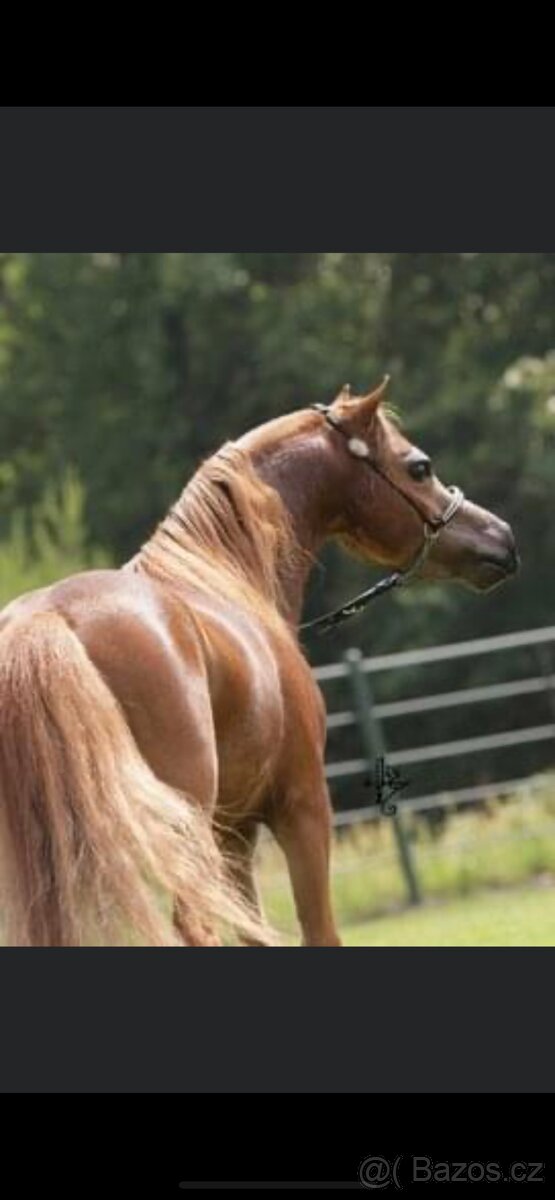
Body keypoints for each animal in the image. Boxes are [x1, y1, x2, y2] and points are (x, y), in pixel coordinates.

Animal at [0, 378, 519, 946]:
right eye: (419, 467)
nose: (501, 538)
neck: (223, 574)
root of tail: (47, 620)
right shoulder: (301, 805)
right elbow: (318, 930)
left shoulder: (234, 830)